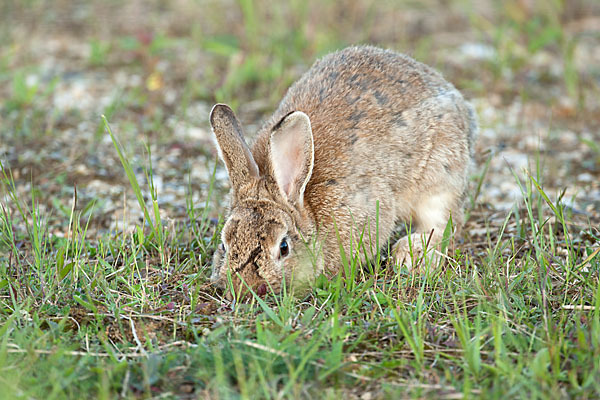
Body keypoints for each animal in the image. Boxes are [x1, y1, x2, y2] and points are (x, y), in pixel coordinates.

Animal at [210, 45, 478, 298]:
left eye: (283, 247)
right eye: (224, 244)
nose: (245, 289)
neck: (304, 203)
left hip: (440, 175)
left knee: (443, 225)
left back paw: (411, 255)